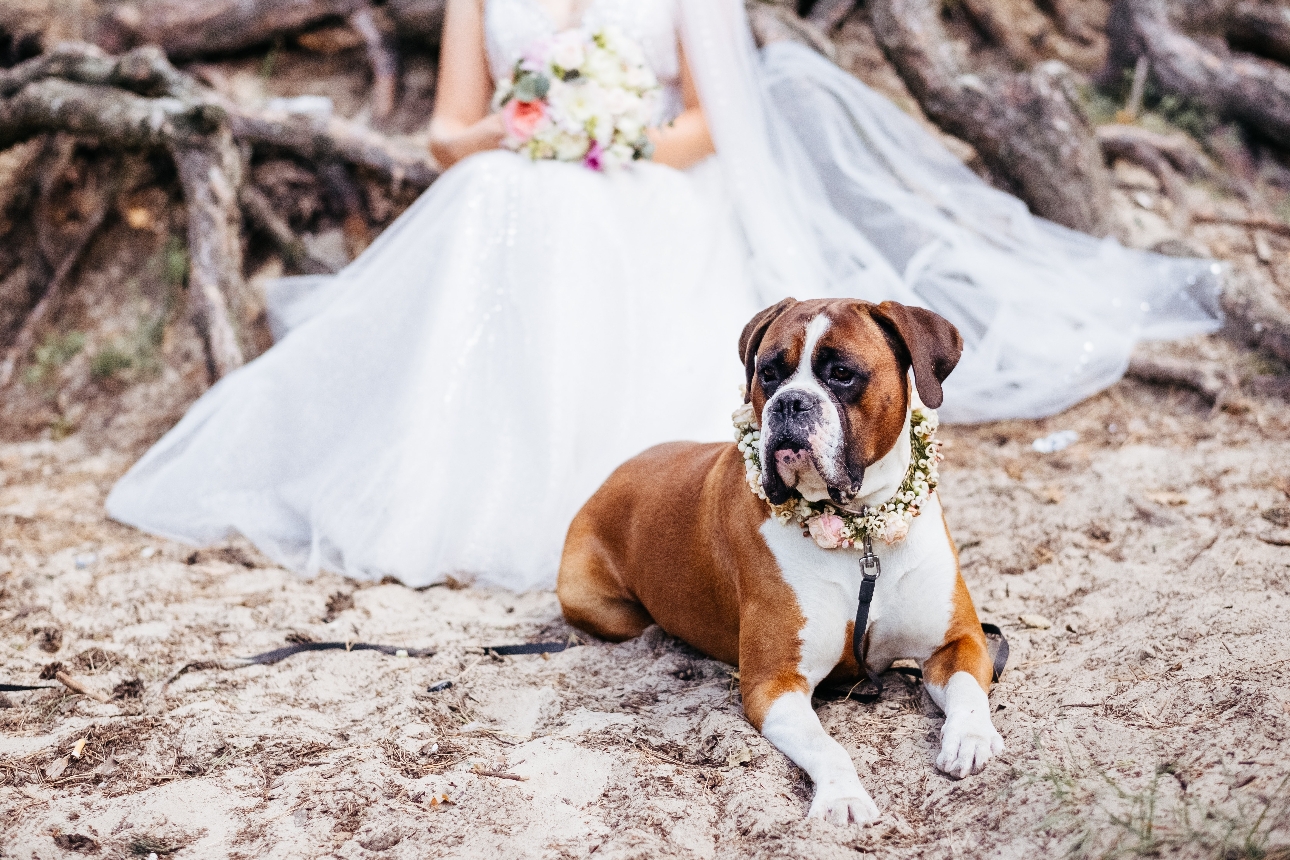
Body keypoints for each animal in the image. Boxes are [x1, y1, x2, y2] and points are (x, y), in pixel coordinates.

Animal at [559, 297, 1001, 825]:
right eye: (768, 373)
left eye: (842, 374)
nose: (790, 402)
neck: (861, 535)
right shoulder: (774, 685)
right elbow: (829, 746)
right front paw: (842, 795)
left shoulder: (958, 643)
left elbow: (968, 693)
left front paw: (971, 739)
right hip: (599, 604)